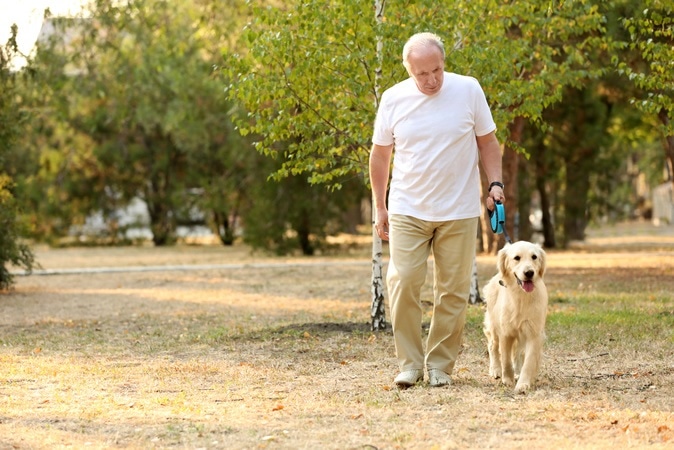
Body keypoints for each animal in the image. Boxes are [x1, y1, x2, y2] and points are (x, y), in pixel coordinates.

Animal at [480, 241, 544, 392]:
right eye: (517, 258)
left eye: (534, 257)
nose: (529, 273)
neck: (522, 296)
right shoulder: (506, 332)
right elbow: (506, 359)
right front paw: (507, 379)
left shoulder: (534, 333)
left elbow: (529, 362)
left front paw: (523, 383)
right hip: (494, 325)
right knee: (493, 346)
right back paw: (496, 370)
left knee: (517, 353)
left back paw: (517, 371)